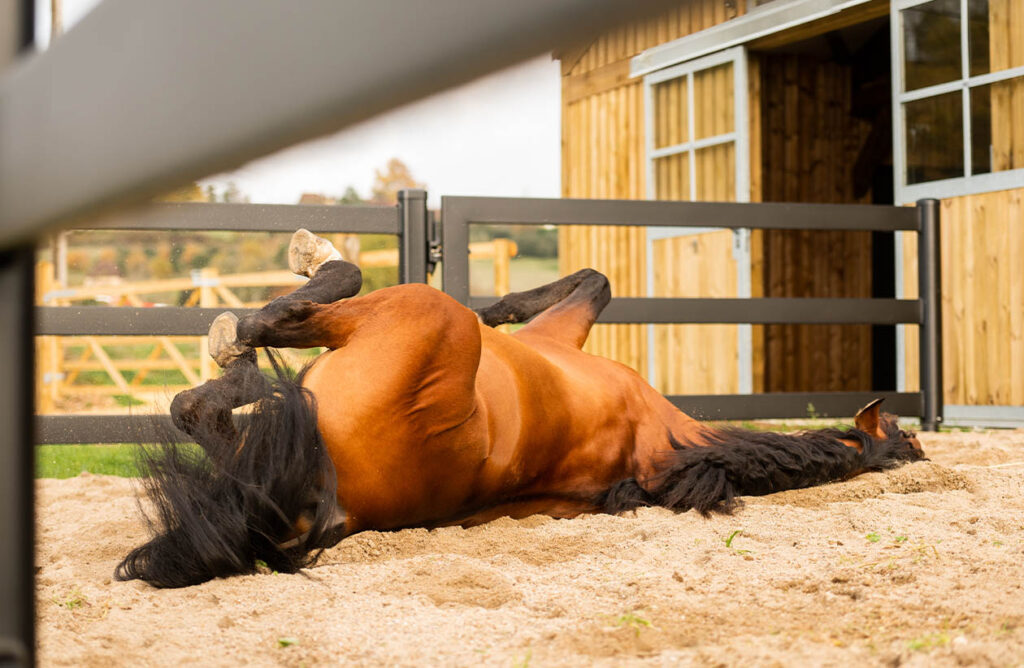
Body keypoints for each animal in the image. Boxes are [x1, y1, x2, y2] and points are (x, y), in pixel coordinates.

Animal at [114, 228, 929, 586]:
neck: (675, 438)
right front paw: (499, 307)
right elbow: (596, 279)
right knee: (209, 414)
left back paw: (268, 312)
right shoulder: (562, 335)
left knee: (253, 352)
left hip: (417, 314)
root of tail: (335, 507)